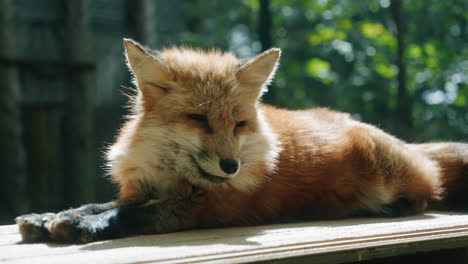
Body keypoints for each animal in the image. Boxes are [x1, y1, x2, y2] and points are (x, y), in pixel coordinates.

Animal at [16, 39, 466, 243]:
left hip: (387, 171)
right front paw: (53, 215)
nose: (231, 166)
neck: (173, 175)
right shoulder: (140, 189)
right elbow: (103, 204)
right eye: (198, 118)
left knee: (425, 194)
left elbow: (132, 216)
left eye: (239, 125)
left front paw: (82, 225)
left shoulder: (208, 208)